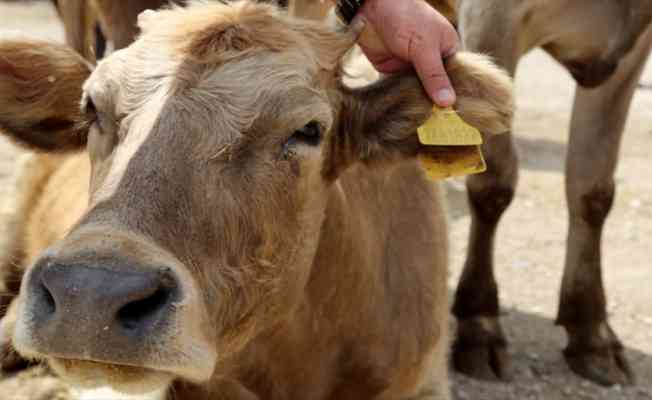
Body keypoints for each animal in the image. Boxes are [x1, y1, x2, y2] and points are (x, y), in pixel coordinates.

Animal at [450, 0, 652, 390]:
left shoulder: (630, 51)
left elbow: (592, 186)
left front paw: (591, 333)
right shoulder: (489, 20)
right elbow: (493, 183)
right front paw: (479, 324)